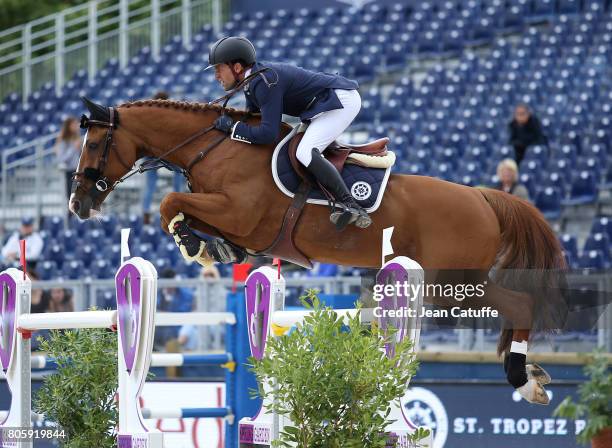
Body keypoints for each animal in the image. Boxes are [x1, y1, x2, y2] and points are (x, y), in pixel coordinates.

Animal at [71, 99, 568, 406]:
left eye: (94, 143)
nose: (78, 204)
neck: (215, 149)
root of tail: (483, 196)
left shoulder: (240, 212)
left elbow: (169, 203)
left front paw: (192, 242)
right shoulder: (232, 218)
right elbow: (186, 212)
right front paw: (211, 246)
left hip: (455, 284)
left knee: (518, 304)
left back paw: (524, 379)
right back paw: (530, 376)